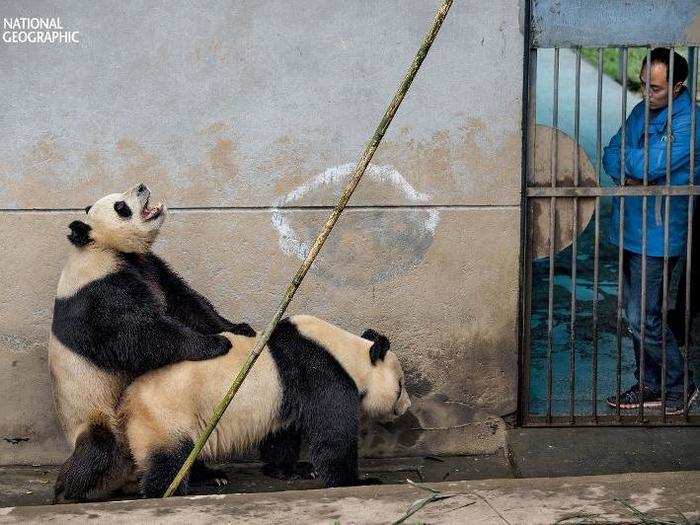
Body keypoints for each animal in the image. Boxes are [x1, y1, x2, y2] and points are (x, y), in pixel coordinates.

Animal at [49, 183, 258, 500]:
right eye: (121, 207)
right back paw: (67, 491)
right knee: (97, 448)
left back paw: (209, 475)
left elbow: (186, 303)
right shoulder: (96, 292)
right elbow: (137, 336)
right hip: (94, 413)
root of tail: (125, 477)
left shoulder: (151, 267)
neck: (102, 247)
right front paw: (215, 343)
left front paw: (238, 328)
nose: (141, 186)